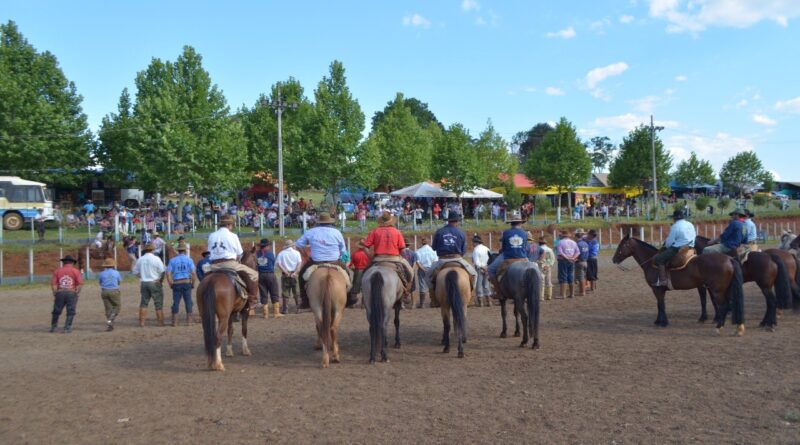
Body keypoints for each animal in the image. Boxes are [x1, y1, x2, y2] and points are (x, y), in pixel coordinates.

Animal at [608, 236, 748, 332]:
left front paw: (663, 322)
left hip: (717, 290)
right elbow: (659, 305)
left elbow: (661, 305)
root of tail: (729, 259)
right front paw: (658, 321)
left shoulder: (657, 289)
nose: (614, 259)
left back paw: (719, 326)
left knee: (724, 305)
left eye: (622, 245)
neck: (651, 263)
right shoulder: (659, 290)